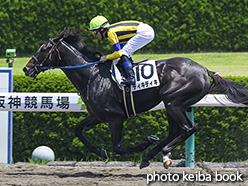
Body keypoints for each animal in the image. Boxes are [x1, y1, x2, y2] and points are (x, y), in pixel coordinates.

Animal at [23, 28, 248, 169]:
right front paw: (100, 151)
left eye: (43, 49)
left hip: (173, 101)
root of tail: (204, 70)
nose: (26, 69)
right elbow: (77, 130)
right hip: (172, 104)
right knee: (175, 130)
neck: (91, 76)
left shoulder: (115, 118)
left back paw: (162, 153)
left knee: (187, 129)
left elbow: (118, 147)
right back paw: (151, 155)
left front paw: (141, 145)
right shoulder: (97, 116)